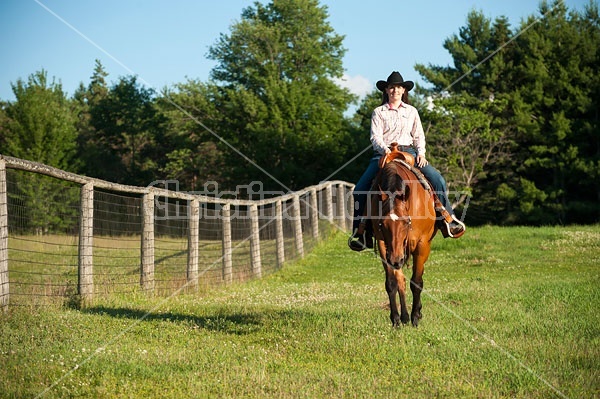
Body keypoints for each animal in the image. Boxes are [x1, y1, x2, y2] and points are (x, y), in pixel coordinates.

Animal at [368, 144, 434, 328]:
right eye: (382, 224)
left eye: (406, 222)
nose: (396, 259)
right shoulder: (384, 246)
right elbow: (392, 283)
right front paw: (396, 319)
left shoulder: (422, 244)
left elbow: (417, 282)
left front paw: (415, 317)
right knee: (401, 281)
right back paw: (404, 316)